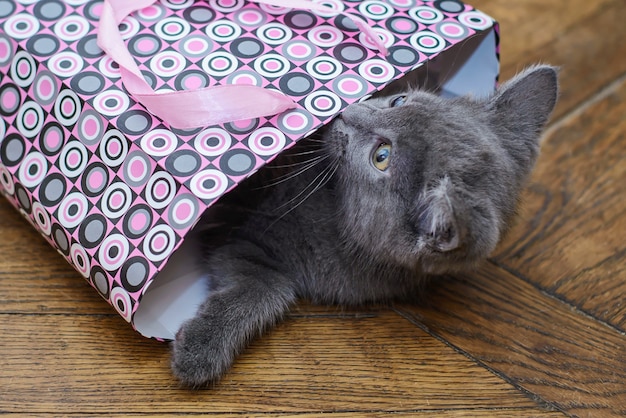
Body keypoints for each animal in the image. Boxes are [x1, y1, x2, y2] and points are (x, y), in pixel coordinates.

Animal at [169, 63, 556, 386]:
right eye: (398, 99)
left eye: (381, 156)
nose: (345, 111)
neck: (336, 211)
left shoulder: (264, 252)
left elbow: (267, 287)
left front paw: (199, 349)